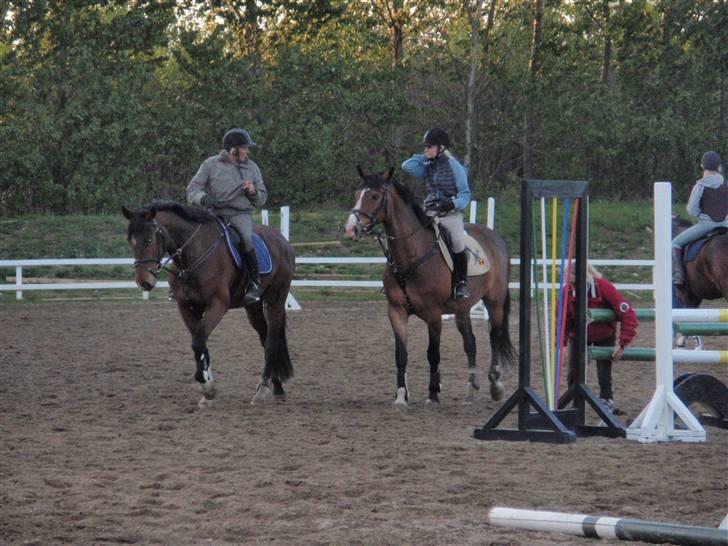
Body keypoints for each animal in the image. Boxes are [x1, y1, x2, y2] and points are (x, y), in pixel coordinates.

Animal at [123, 200, 296, 404]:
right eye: (131, 241)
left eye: (149, 240)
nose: (144, 282)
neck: (191, 257)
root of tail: (281, 240)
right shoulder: (187, 308)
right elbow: (200, 343)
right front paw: (208, 388)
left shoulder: (217, 305)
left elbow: (198, 342)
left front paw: (206, 386)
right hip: (253, 307)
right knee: (264, 337)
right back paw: (276, 386)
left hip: (275, 298)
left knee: (272, 341)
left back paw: (262, 390)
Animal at [344, 167, 516, 408]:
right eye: (356, 194)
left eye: (375, 196)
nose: (351, 229)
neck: (411, 256)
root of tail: (494, 237)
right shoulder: (396, 311)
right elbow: (401, 354)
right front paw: (401, 396)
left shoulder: (434, 315)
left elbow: (433, 353)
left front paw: (433, 393)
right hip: (462, 309)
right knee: (470, 342)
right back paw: (471, 388)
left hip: (495, 302)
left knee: (494, 337)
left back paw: (496, 385)